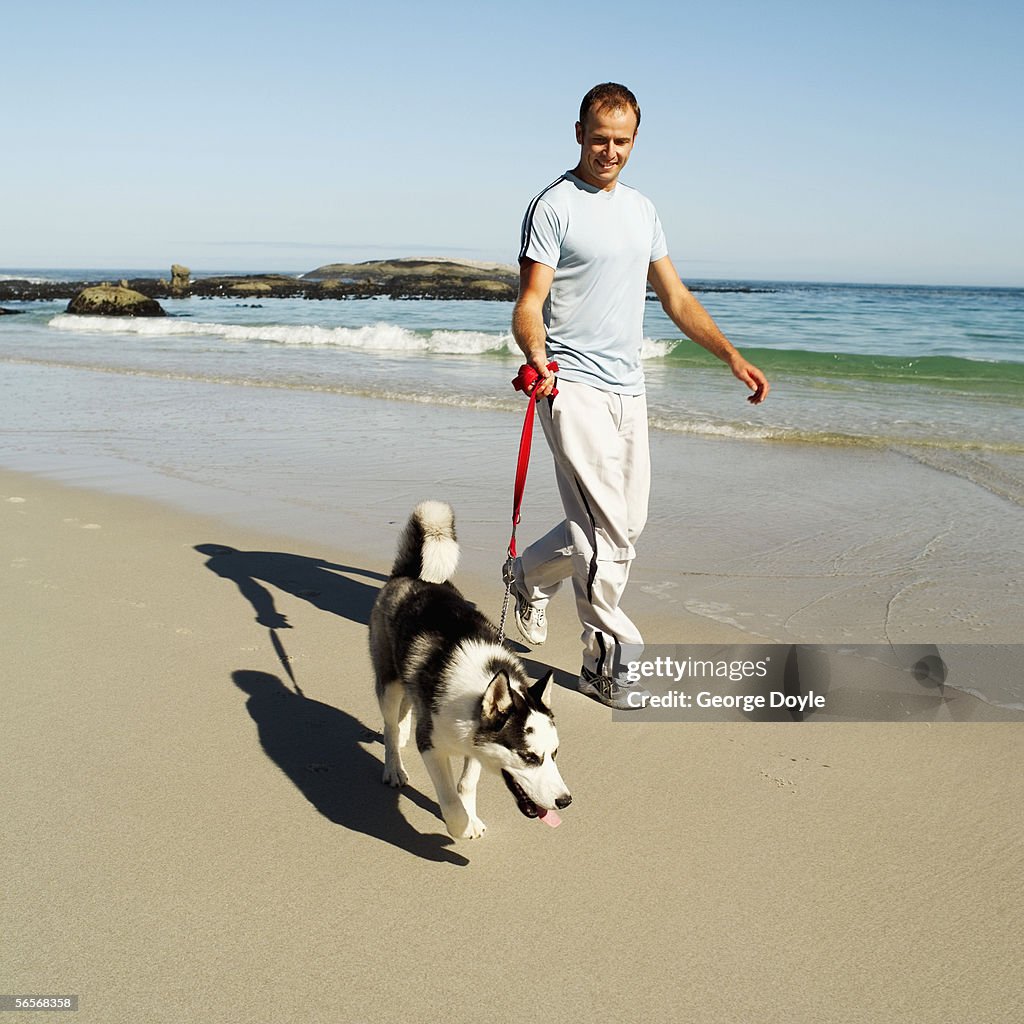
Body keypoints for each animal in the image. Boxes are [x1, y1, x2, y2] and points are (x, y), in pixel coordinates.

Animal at [370, 497, 573, 839]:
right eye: (529, 757)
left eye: (554, 753)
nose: (565, 801)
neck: (480, 685)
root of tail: (411, 576)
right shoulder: (431, 745)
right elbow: (448, 794)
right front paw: (459, 824)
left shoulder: (476, 743)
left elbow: (466, 783)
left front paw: (471, 817)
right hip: (388, 679)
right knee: (389, 721)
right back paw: (393, 765)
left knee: (407, 704)